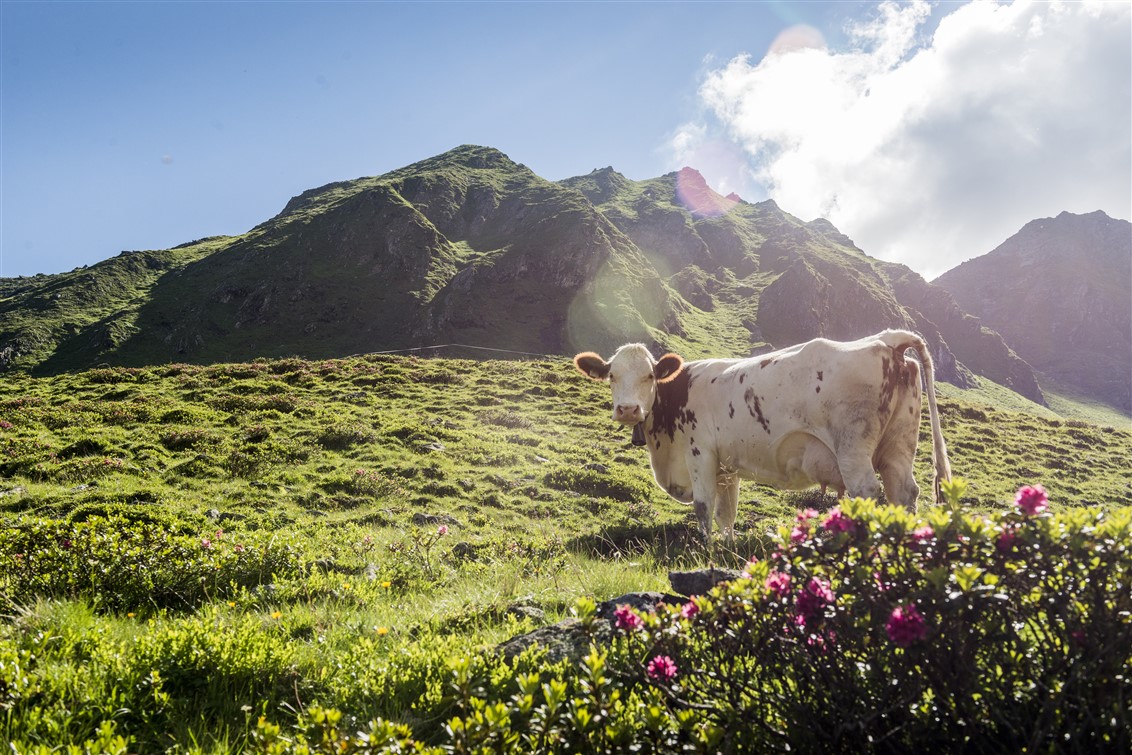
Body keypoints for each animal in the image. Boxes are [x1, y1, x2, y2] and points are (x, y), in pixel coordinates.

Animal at [573, 330, 952, 541]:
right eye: (611, 375)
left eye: (650, 376)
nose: (628, 409)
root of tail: (885, 339)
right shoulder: (726, 468)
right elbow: (727, 513)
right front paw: (726, 548)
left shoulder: (700, 453)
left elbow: (703, 507)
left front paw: (705, 549)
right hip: (898, 447)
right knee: (904, 492)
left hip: (853, 449)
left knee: (868, 492)